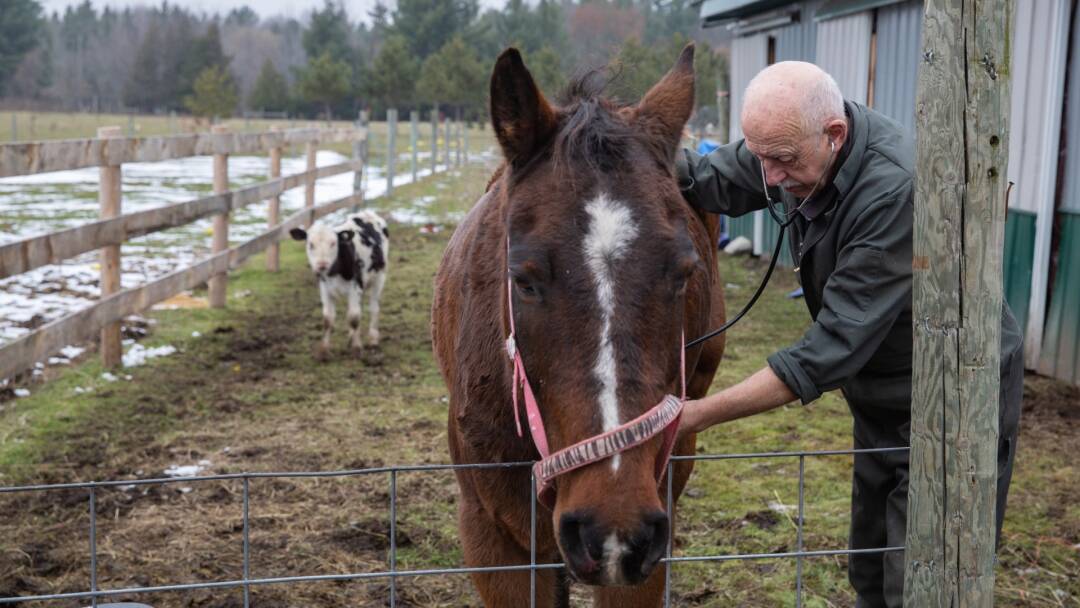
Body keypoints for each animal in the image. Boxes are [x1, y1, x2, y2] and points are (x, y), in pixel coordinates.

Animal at [289, 211, 390, 358]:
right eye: (311, 244)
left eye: (333, 243)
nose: (322, 265)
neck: (334, 272)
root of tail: (366, 213)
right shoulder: (325, 289)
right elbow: (328, 320)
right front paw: (324, 351)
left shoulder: (355, 287)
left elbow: (354, 317)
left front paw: (356, 348)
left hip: (380, 276)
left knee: (374, 308)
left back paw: (373, 339)